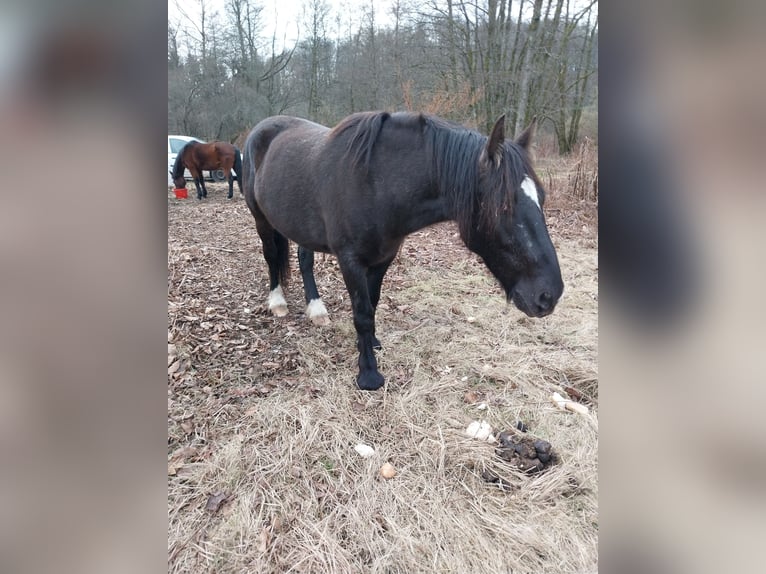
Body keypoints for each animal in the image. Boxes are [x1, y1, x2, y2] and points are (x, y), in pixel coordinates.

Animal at [244, 112, 564, 392]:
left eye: (542, 197)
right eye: (504, 207)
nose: (549, 295)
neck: (375, 183)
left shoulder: (383, 258)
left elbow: (372, 304)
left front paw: (371, 343)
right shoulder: (350, 261)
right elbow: (362, 313)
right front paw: (369, 374)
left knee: (304, 259)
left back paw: (316, 309)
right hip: (261, 219)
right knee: (271, 257)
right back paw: (277, 302)